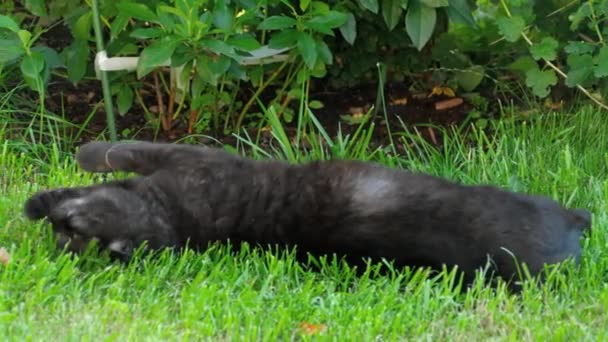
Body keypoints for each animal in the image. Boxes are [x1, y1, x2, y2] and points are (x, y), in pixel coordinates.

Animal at [23, 140, 588, 284]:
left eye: (69, 233)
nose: (59, 237)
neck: (175, 215)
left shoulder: (185, 156)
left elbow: (113, 153)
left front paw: (45, 193)